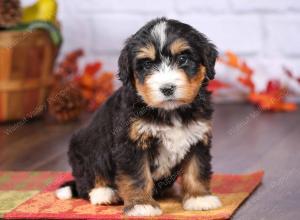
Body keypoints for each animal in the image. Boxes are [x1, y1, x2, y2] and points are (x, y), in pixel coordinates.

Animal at [56, 17, 221, 217]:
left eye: (183, 59)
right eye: (147, 64)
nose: (167, 88)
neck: (170, 111)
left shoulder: (197, 137)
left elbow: (196, 169)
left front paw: (199, 198)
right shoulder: (131, 143)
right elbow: (137, 176)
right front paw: (141, 205)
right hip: (85, 146)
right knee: (87, 179)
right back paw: (104, 193)